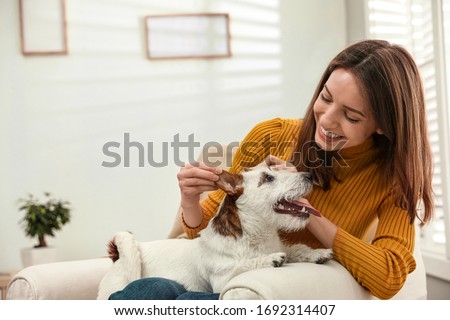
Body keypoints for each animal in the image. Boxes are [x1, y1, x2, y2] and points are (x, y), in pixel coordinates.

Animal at [96, 166, 334, 298]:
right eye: (268, 178)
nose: (309, 176)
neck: (256, 235)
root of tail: (116, 256)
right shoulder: (222, 280)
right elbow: (245, 264)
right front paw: (270, 259)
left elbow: (296, 249)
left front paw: (316, 253)